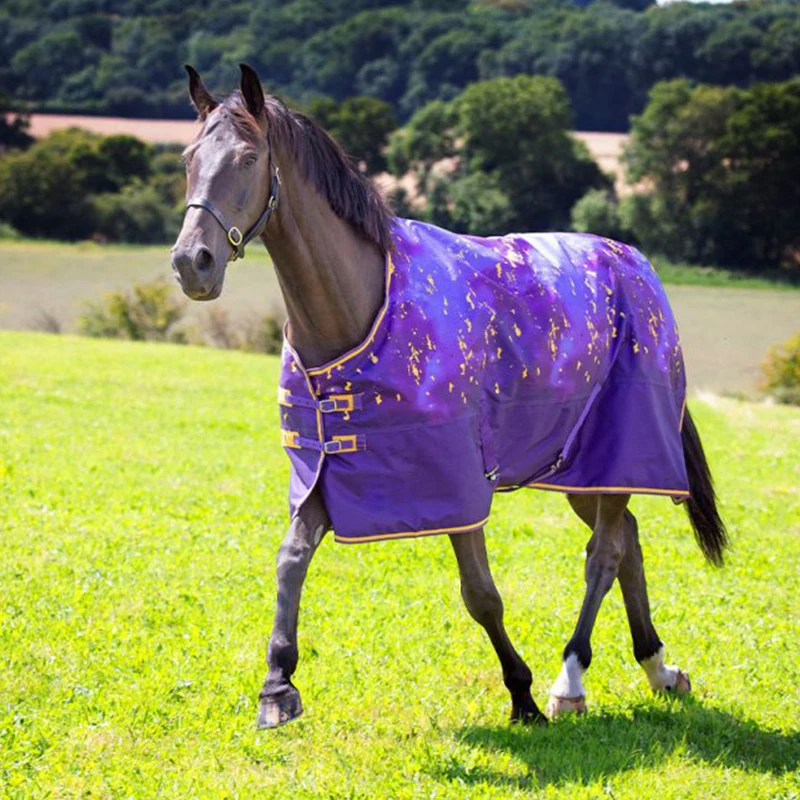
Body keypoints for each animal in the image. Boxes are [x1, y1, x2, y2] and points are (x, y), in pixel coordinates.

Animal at [170, 64, 727, 729]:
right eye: (188, 159)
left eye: (249, 158)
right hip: (581, 468)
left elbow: (481, 595)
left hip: (619, 449)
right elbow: (290, 557)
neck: (364, 307)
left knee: (604, 553)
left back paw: (570, 680)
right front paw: (277, 686)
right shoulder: (329, 471)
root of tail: (636, 263)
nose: (192, 263)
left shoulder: (457, 483)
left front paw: (523, 695)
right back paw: (658, 668)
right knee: (629, 542)